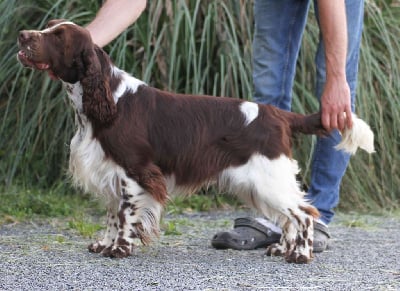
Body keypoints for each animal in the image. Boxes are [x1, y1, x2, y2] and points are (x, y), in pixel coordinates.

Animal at [16, 19, 376, 264]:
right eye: (49, 27)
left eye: (58, 36)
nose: (22, 34)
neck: (108, 102)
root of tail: (278, 115)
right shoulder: (110, 173)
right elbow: (111, 214)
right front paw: (104, 244)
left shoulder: (136, 171)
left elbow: (126, 215)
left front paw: (120, 248)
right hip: (260, 183)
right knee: (289, 216)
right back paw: (280, 247)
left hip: (268, 178)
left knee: (303, 213)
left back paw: (299, 254)